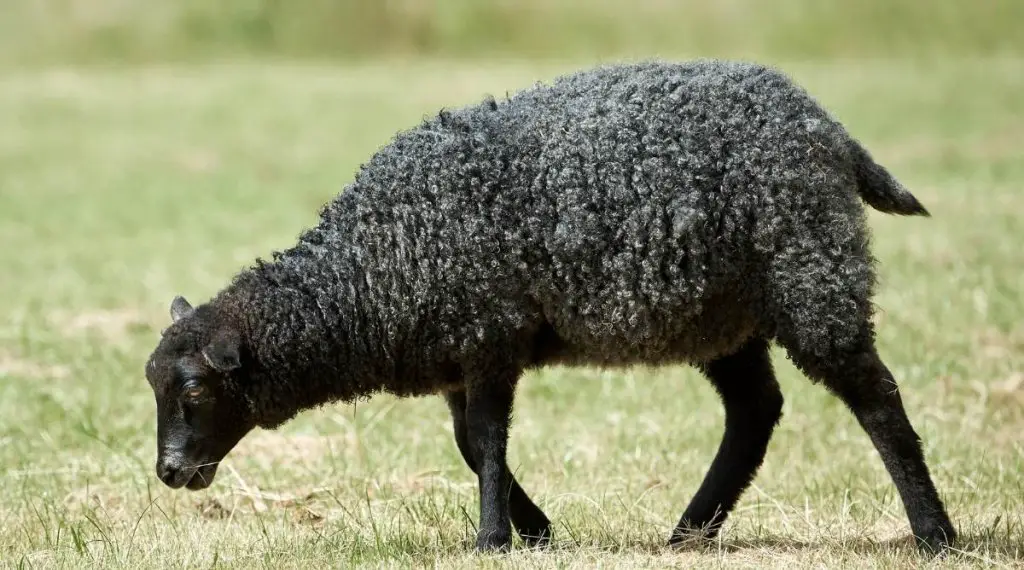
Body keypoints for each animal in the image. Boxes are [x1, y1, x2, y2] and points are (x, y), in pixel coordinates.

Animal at [146, 60, 958, 552]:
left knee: (876, 397)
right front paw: (533, 531)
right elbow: (471, 445)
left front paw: (493, 538)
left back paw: (934, 533)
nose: (169, 472)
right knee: (756, 410)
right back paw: (690, 532)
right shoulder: (460, 355)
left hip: (811, 274)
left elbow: (485, 441)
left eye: (196, 391)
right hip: (723, 313)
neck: (375, 266)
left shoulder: (490, 336)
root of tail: (828, 128)